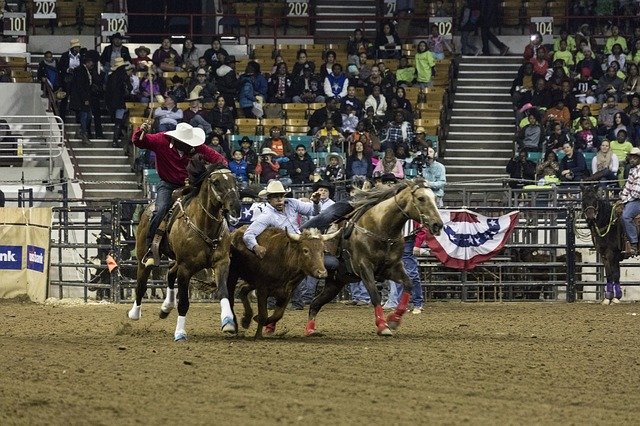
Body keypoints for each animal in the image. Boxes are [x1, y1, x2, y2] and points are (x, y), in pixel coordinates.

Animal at [128, 166, 242, 340]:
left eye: (235, 180)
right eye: (216, 182)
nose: (236, 206)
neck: (205, 226)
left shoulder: (222, 263)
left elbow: (223, 292)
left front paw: (228, 322)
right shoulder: (186, 268)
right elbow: (183, 303)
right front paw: (180, 332)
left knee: (169, 273)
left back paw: (166, 307)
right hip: (145, 257)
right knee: (141, 283)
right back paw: (134, 313)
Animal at [304, 178, 444, 338]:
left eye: (434, 198)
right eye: (421, 198)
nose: (438, 224)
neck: (381, 227)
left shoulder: (392, 268)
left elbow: (408, 284)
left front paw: (394, 319)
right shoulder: (364, 267)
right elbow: (375, 295)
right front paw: (382, 325)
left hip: (335, 283)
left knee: (315, 303)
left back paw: (310, 330)